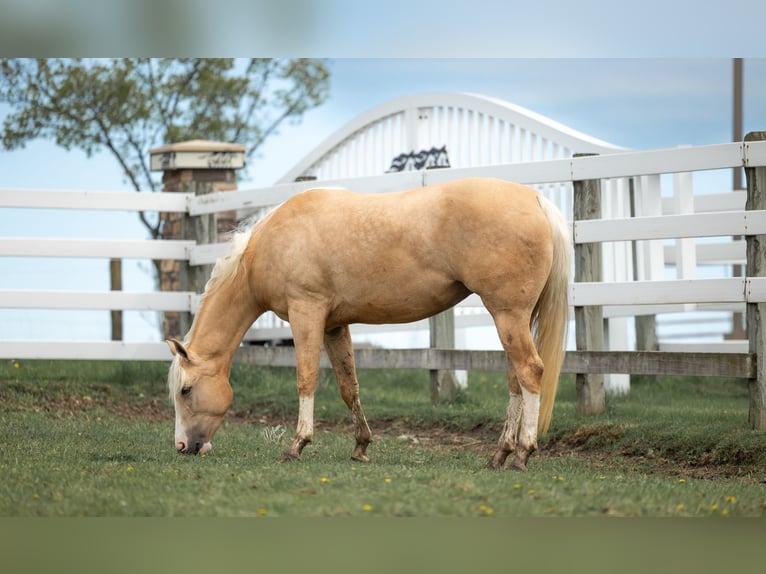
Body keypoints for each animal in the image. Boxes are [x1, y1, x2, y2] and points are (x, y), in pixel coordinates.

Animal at [171, 179, 572, 472]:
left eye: (186, 390)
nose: (182, 446)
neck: (270, 246)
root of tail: (536, 199)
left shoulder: (306, 313)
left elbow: (306, 379)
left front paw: (297, 445)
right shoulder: (334, 326)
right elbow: (349, 387)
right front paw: (361, 445)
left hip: (507, 315)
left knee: (529, 372)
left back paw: (522, 453)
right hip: (513, 319)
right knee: (516, 381)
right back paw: (500, 453)